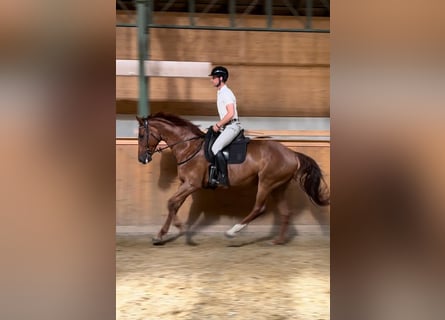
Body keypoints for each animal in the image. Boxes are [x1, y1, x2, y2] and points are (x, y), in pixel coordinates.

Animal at [137, 111, 328, 244]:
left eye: (141, 135)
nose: (142, 159)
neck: (189, 147)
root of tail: (292, 154)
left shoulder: (192, 184)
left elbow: (171, 203)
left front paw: (179, 227)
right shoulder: (184, 184)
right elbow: (173, 205)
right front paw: (161, 235)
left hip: (266, 182)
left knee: (259, 208)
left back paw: (232, 231)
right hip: (278, 187)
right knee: (285, 212)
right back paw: (278, 241)